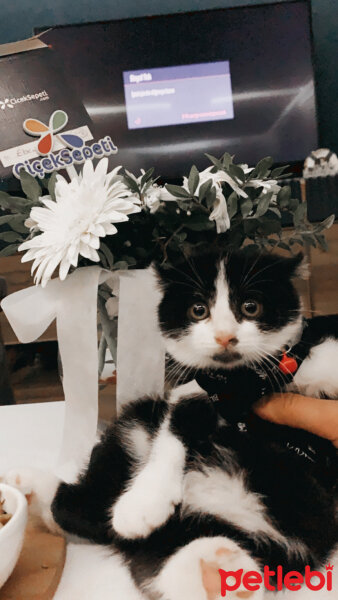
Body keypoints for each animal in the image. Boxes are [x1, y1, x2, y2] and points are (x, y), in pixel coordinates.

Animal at [5, 248, 338, 600]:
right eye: (198, 310)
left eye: (251, 306)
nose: (225, 336)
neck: (243, 382)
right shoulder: (196, 390)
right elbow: (173, 431)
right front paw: (143, 501)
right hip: (137, 427)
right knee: (86, 510)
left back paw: (221, 569)